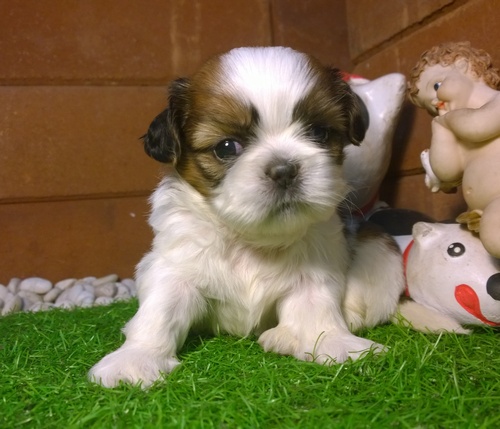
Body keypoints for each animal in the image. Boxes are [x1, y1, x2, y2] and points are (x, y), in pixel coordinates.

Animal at [89, 47, 405, 388]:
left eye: (319, 133)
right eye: (227, 147)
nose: (284, 170)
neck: (252, 239)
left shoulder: (314, 271)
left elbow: (316, 307)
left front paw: (337, 344)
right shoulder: (174, 265)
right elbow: (160, 310)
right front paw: (135, 358)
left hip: (379, 247)